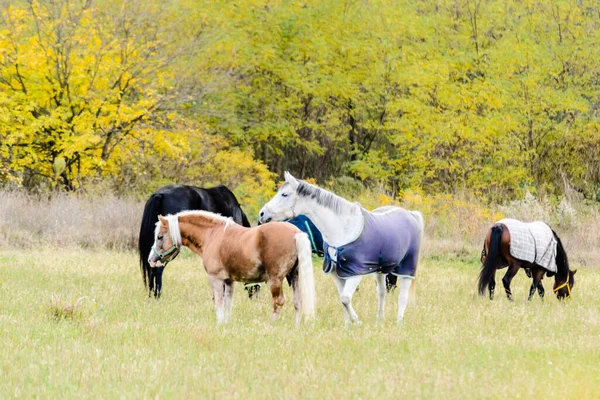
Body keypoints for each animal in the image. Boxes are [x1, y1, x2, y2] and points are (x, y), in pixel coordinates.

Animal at [148, 211, 316, 324]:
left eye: (160, 237)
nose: (151, 260)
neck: (212, 235)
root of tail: (296, 233)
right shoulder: (229, 281)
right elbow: (228, 303)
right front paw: (227, 324)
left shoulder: (215, 279)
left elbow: (219, 303)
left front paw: (220, 324)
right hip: (294, 276)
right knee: (298, 302)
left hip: (276, 280)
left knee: (279, 302)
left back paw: (271, 324)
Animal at [260, 172, 424, 324]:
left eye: (284, 194)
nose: (262, 214)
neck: (343, 230)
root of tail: (411, 214)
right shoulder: (337, 272)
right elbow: (342, 299)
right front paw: (347, 325)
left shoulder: (355, 273)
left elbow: (345, 298)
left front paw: (356, 321)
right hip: (381, 270)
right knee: (382, 292)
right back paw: (380, 320)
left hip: (406, 269)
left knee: (402, 296)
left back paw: (399, 322)